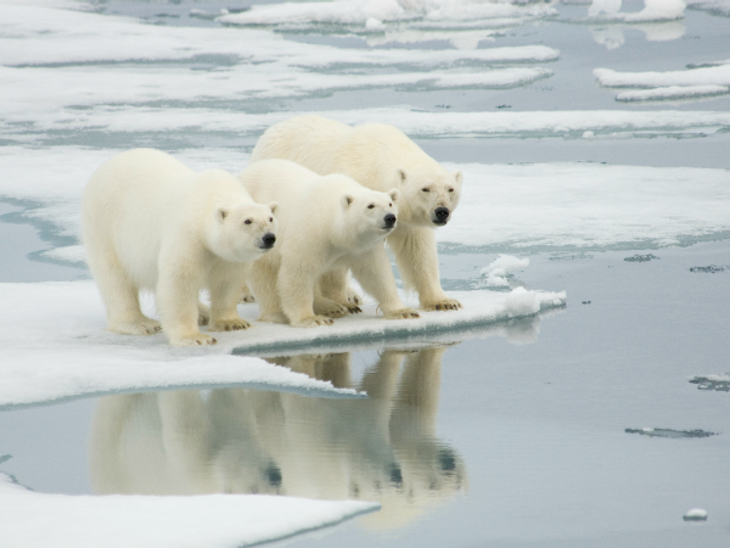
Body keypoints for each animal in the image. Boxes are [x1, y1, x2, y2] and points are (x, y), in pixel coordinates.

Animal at [82, 149, 276, 346]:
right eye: (247, 221)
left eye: (270, 218)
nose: (269, 238)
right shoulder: (188, 234)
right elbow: (180, 280)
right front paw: (194, 337)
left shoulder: (228, 256)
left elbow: (227, 281)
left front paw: (233, 323)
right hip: (104, 226)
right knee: (115, 279)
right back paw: (140, 323)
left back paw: (203, 312)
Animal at [239, 161, 420, 328]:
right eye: (370, 206)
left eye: (390, 204)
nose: (390, 218)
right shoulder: (311, 235)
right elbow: (298, 273)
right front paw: (310, 319)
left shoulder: (362, 247)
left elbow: (375, 273)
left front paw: (403, 311)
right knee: (264, 275)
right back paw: (278, 313)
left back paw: (339, 305)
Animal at [250, 114, 464, 312]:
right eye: (425, 189)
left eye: (450, 189)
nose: (442, 211)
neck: (375, 163)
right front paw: (341, 300)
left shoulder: (404, 219)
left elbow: (417, 250)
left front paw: (443, 301)